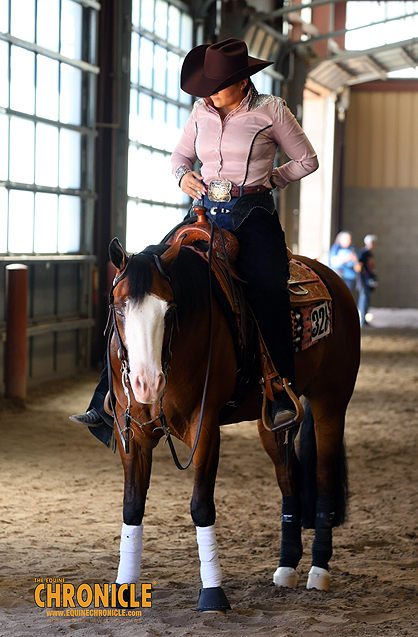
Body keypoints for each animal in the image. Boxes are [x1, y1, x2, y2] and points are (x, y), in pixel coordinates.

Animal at [105, 221, 360, 612]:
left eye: (170, 310)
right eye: (119, 308)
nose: (147, 383)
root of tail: (334, 280)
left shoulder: (205, 426)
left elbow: (201, 505)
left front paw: (212, 593)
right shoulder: (132, 429)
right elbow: (132, 506)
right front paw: (124, 588)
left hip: (331, 403)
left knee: (324, 479)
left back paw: (319, 570)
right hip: (273, 422)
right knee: (289, 479)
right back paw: (287, 567)